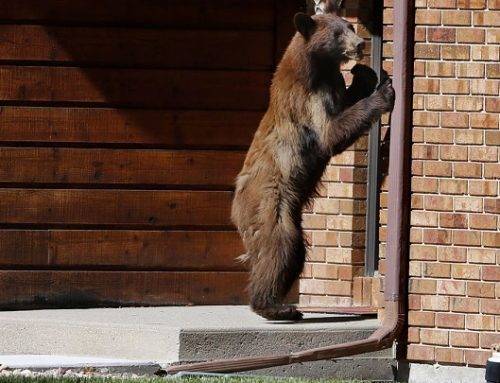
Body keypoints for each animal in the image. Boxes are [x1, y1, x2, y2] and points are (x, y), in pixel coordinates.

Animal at [231, 0, 394, 320]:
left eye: (350, 25)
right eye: (336, 33)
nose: (359, 44)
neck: (315, 68)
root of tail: (235, 206)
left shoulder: (332, 85)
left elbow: (347, 103)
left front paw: (365, 74)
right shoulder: (308, 100)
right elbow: (332, 133)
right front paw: (383, 92)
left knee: (296, 252)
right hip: (270, 203)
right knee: (279, 245)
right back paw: (273, 306)